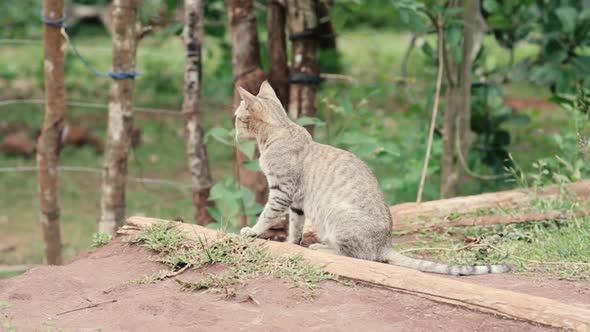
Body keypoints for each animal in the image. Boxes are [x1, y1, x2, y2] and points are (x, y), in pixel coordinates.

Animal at [234, 80, 512, 274]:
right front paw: (292, 243)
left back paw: (322, 247)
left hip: (337, 215)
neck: (280, 130)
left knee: (356, 255)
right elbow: (295, 226)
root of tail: (386, 244)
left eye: (237, 118)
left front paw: (253, 232)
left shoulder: (281, 191)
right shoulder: (297, 203)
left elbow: (266, 216)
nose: (233, 132)